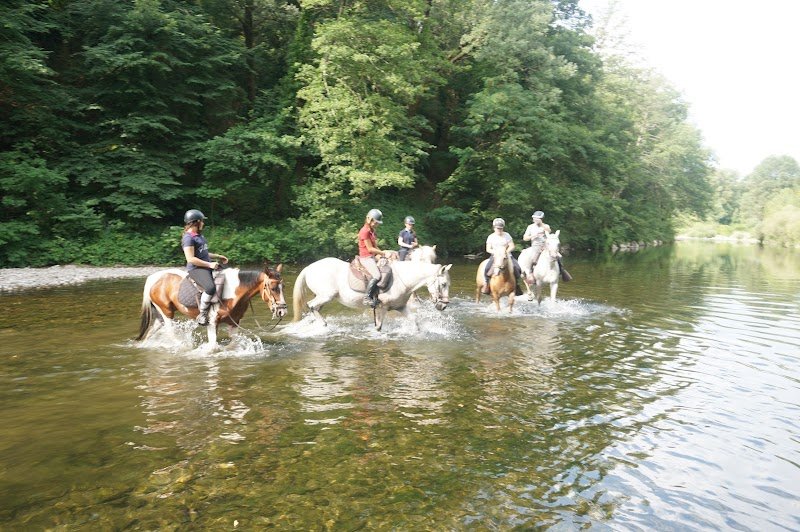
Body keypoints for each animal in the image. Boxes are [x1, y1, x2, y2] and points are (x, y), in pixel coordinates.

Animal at [136, 264, 287, 347]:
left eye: (283, 287)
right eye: (273, 288)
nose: (282, 311)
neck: (232, 292)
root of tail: (153, 278)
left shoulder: (234, 322)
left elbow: (234, 344)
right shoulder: (212, 322)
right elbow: (213, 347)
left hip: (160, 315)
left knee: (151, 331)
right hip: (166, 313)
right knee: (170, 332)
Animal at [292, 258, 452, 331]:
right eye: (444, 284)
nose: (443, 306)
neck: (402, 280)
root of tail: (309, 267)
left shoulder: (400, 307)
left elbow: (414, 320)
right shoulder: (383, 307)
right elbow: (379, 327)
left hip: (324, 297)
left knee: (314, 308)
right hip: (327, 295)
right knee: (311, 305)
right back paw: (323, 324)